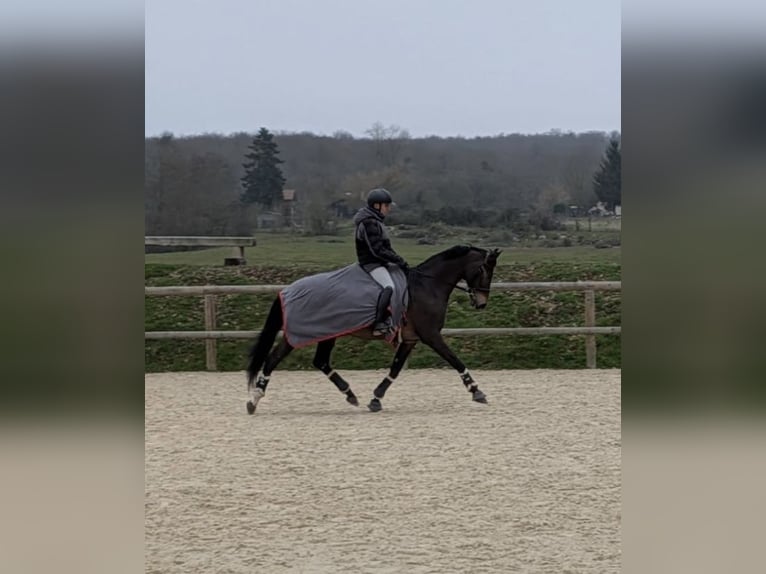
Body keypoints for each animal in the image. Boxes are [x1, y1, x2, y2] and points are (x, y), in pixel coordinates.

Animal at [246, 245, 502, 413]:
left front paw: (376, 398)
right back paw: (255, 399)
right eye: (484, 270)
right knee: (276, 360)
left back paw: (349, 394)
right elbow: (454, 359)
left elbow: (395, 369)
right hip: (307, 334)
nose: (481, 303)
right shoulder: (431, 335)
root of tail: (286, 291)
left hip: (325, 333)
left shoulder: (411, 338)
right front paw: (476, 391)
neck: (426, 285)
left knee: (316, 361)